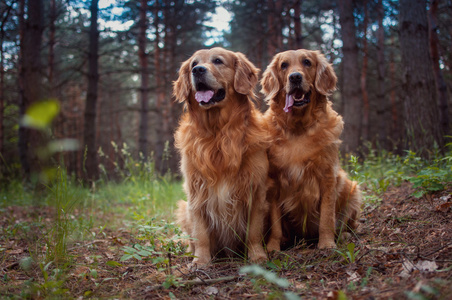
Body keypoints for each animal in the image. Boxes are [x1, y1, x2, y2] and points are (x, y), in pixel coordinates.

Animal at [174, 48, 272, 266]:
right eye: (194, 64)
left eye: (218, 61)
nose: (198, 71)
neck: (218, 133)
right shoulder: (196, 192)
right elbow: (200, 234)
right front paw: (201, 261)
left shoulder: (256, 190)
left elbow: (254, 231)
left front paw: (257, 256)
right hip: (183, 208)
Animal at [262, 49, 360, 251]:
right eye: (284, 65)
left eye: (307, 62)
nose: (295, 77)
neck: (298, 128)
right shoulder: (274, 181)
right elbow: (275, 224)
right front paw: (273, 247)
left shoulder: (328, 177)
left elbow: (327, 217)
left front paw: (327, 243)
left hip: (351, 189)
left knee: (350, 223)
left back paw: (344, 235)